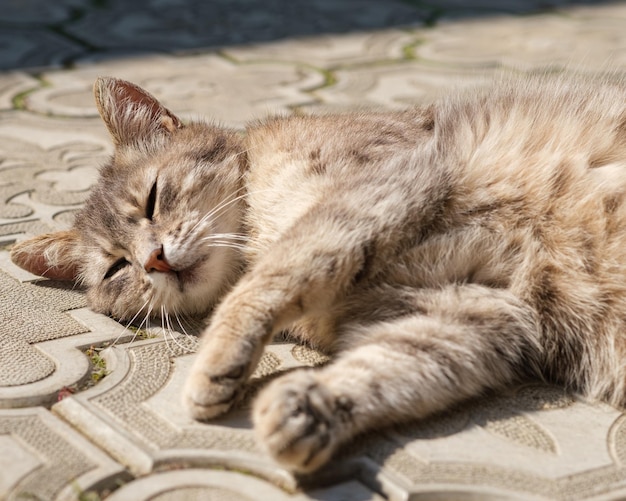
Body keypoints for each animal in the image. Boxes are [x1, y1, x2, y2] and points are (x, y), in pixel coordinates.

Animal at [9, 72, 626, 470]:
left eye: (154, 198)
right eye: (116, 268)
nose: (152, 259)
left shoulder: (372, 193)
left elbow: (270, 278)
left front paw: (214, 360)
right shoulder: (478, 309)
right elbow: (392, 365)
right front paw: (313, 407)